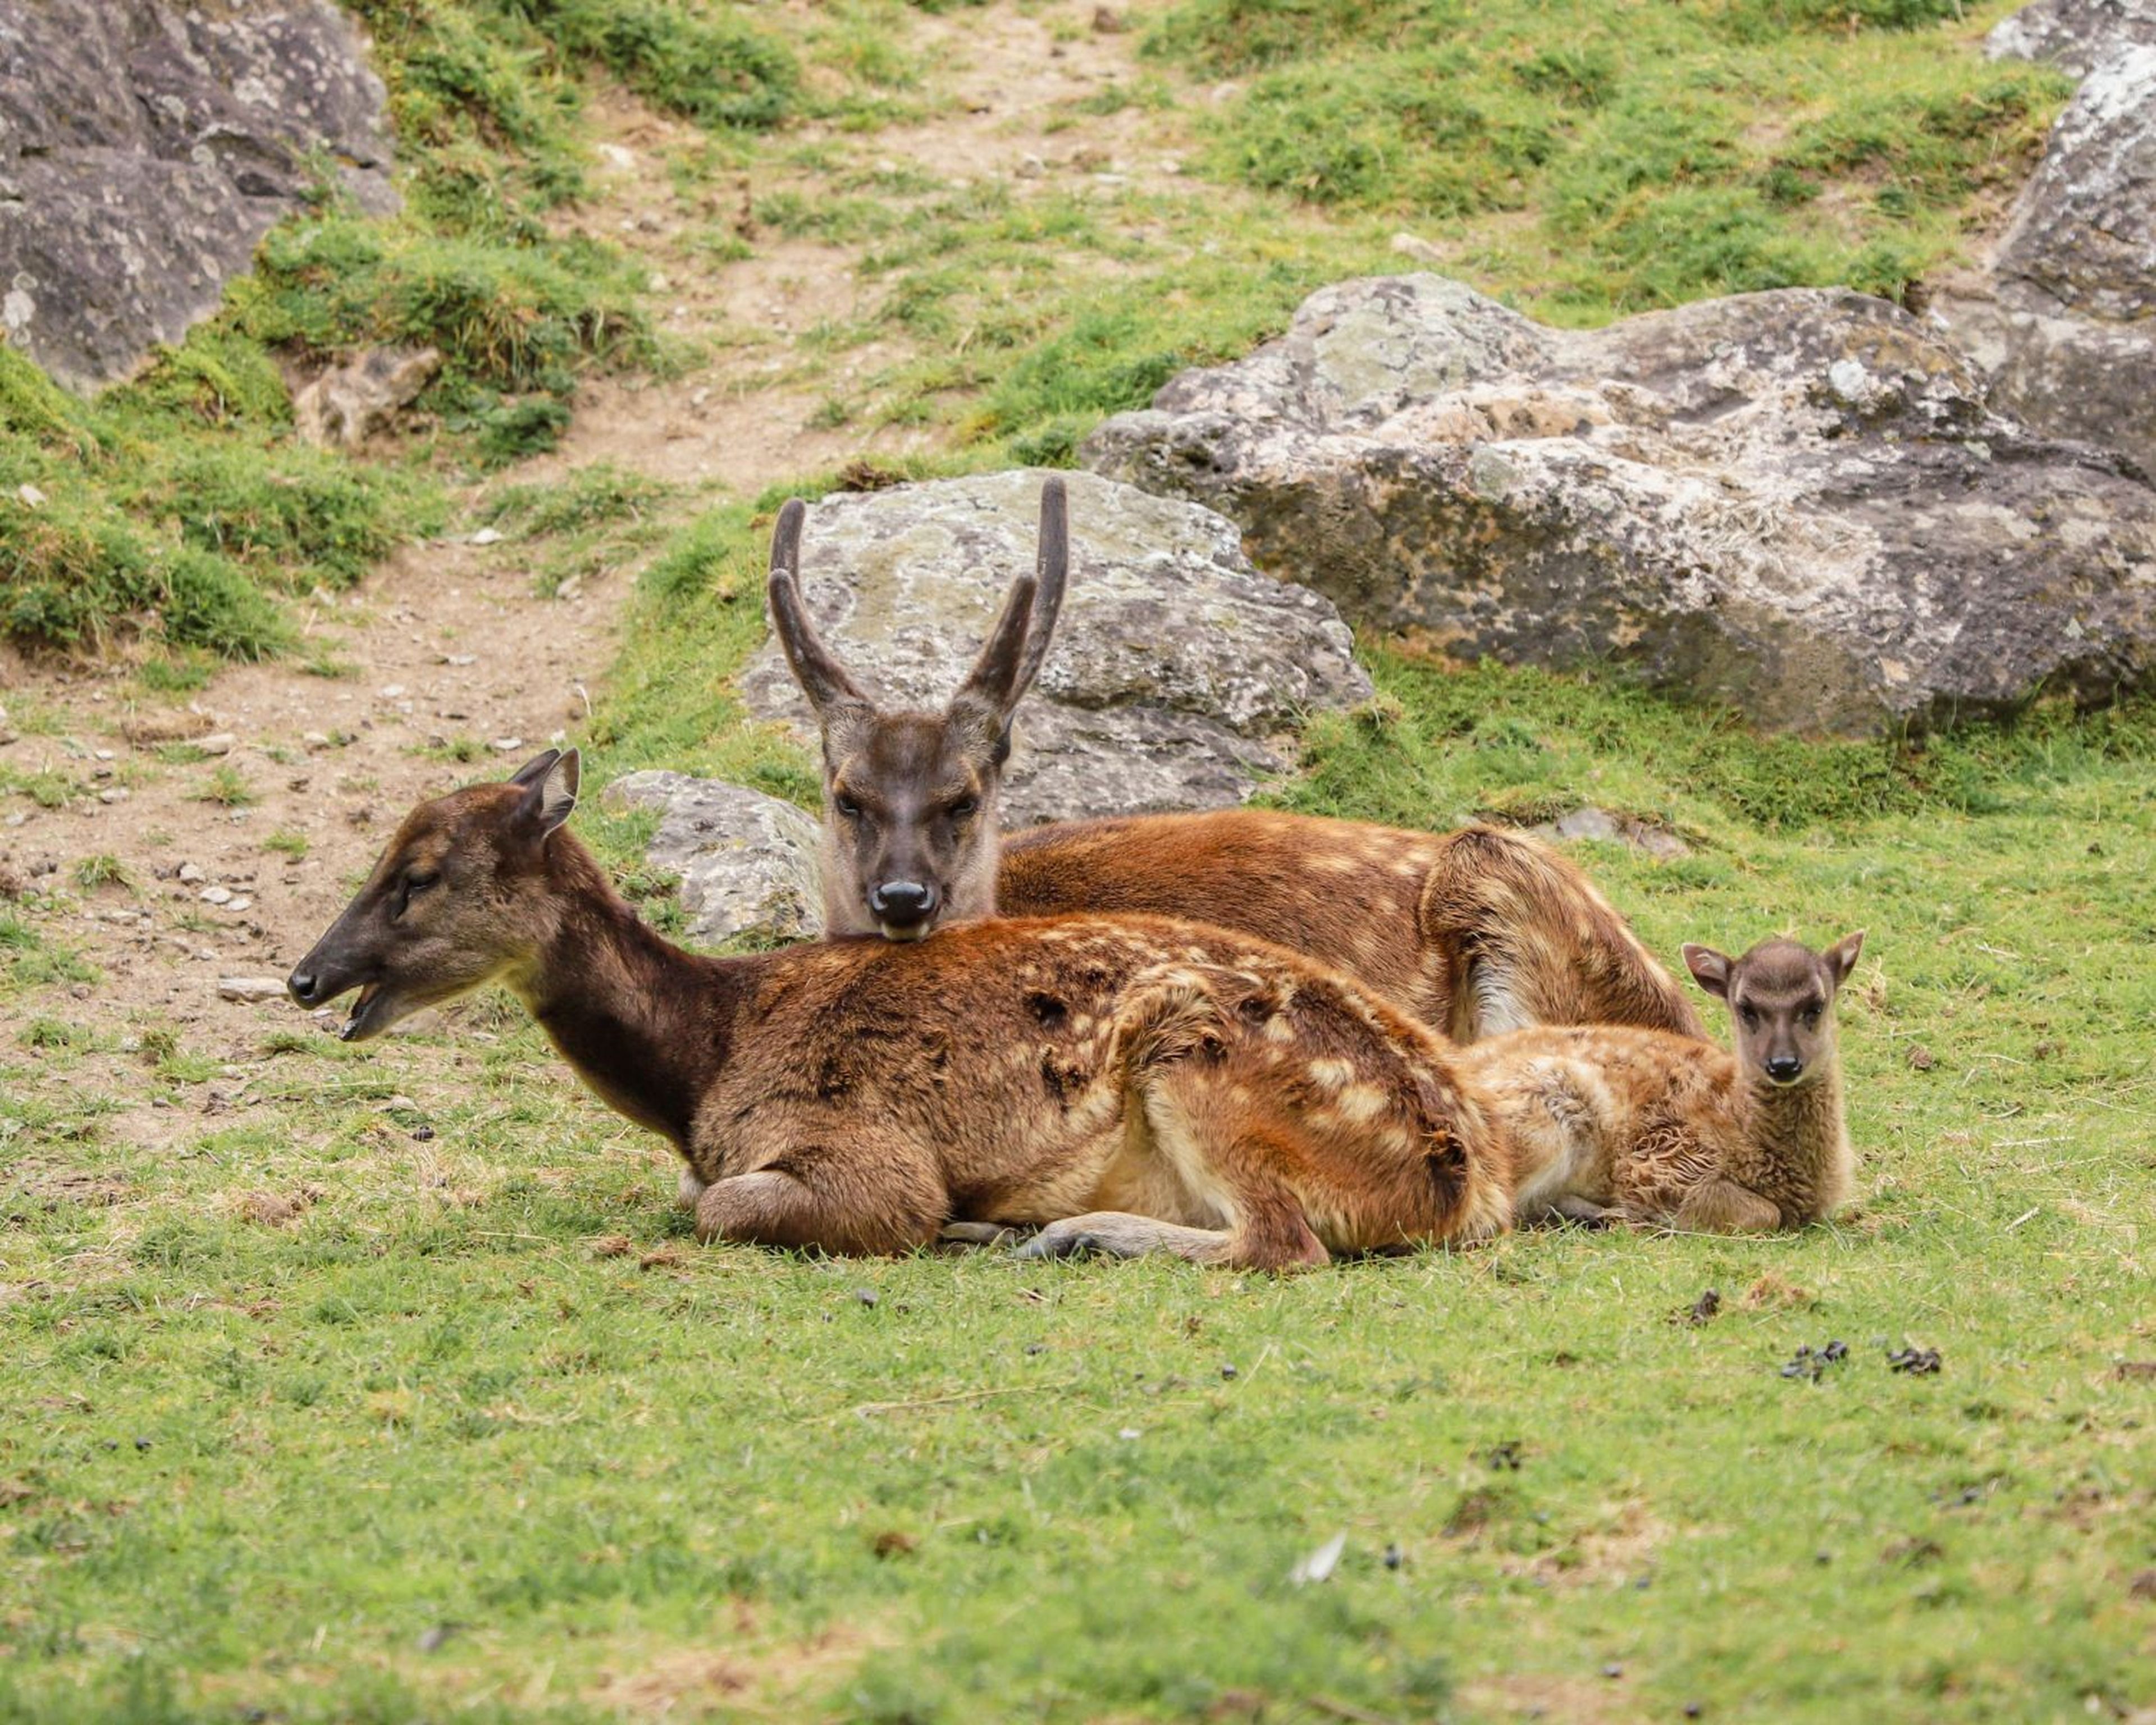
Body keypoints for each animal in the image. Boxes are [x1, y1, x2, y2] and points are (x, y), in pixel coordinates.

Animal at [285, 750, 1516, 1269]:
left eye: (417, 875)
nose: (305, 977)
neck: (706, 1064)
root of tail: (1465, 1181)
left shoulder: (860, 1147)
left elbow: (722, 1207)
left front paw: (960, 1222)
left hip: (1197, 1051)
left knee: (1280, 1243)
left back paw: (1068, 1233)